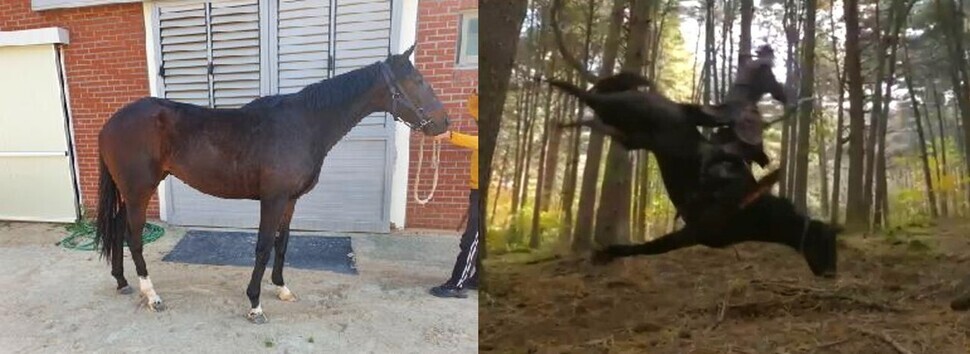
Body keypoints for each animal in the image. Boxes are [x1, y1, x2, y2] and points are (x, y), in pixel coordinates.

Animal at [94, 45, 450, 324]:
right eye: (417, 81)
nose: (445, 123)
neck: (304, 124)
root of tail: (110, 123)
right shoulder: (273, 198)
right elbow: (263, 246)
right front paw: (255, 303)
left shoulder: (290, 200)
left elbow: (283, 243)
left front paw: (282, 287)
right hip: (139, 191)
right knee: (133, 237)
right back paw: (151, 294)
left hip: (129, 192)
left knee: (117, 227)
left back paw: (122, 281)